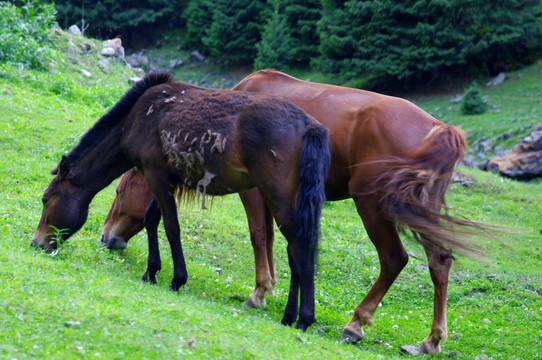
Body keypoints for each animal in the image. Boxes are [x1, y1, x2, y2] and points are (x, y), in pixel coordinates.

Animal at [35, 74, 332, 332]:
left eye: (45, 199)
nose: (37, 243)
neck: (136, 119)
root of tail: (310, 125)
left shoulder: (155, 174)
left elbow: (170, 226)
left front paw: (176, 278)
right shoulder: (167, 178)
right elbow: (152, 219)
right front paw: (151, 271)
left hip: (278, 198)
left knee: (300, 248)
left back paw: (304, 318)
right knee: (295, 253)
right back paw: (289, 316)